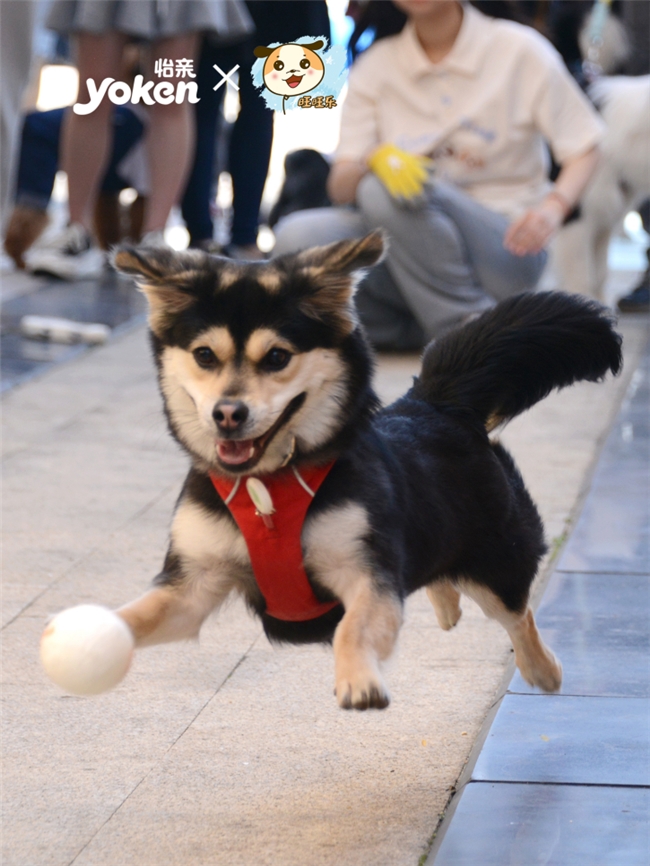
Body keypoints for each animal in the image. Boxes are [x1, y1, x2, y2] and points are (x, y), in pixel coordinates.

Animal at [112, 233, 624, 704]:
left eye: (277, 356)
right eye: (204, 355)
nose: (227, 414)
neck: (269, 485)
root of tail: (432, 402)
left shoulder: (365, 570)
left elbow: (353, 628)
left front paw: (358, 677)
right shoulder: (192, 585)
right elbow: (134, 616)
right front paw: (91, 635)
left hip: (498, 553)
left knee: (518, 613)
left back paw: (542, 669)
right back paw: (448, 606)